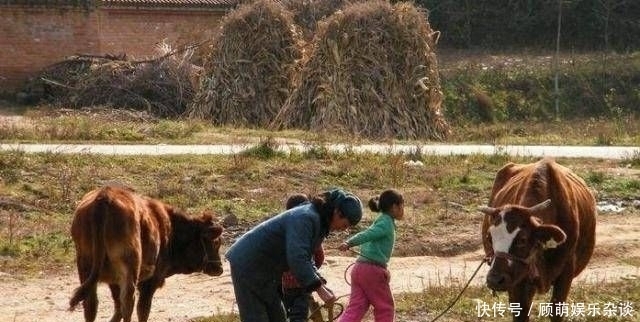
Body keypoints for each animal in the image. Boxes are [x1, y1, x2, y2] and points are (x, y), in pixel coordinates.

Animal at [69, 186, 225, 322]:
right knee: (128, 302)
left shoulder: (114, 281)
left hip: (85, 265)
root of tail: (104, 197)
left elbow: (117, 308)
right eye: (216, 242)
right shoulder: (150, 282)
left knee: (91, 303)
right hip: (130, 266)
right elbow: (142, 310)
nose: (219, 268)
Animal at [482, 158, 596, 322]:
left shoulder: (566, 274)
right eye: (489, 238)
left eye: (522, 240)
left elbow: (556, 313)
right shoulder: (519, 281)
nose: (494, 279)